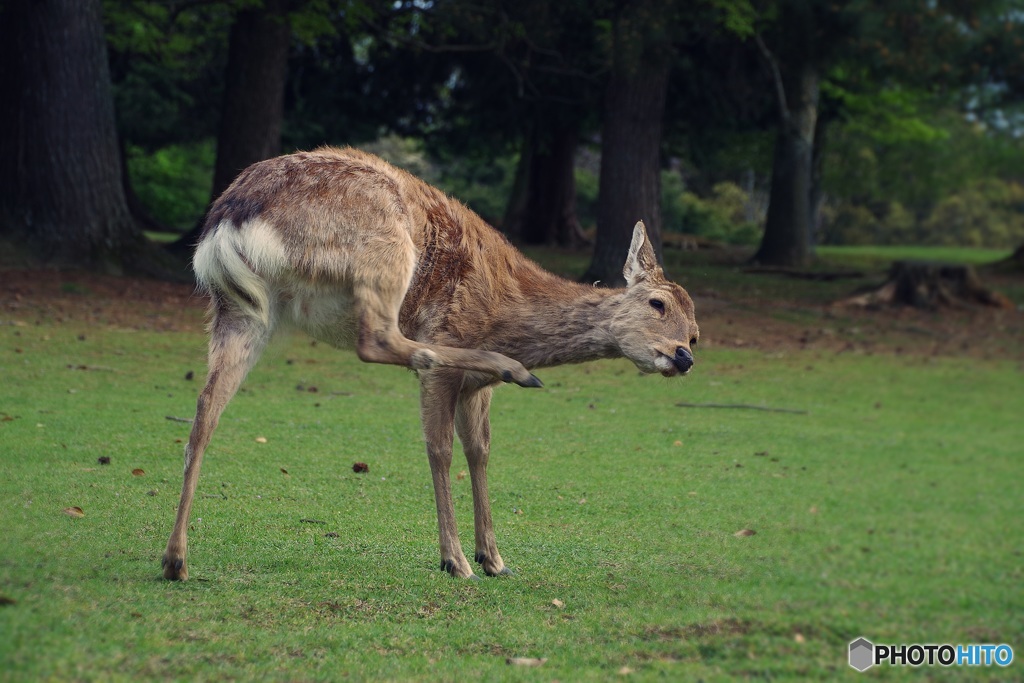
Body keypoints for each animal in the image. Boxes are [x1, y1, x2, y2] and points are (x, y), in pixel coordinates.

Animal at [161, 147, 696, 581]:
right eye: (657, 303)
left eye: (695, 332)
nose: (684, 355)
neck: (507, 311)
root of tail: (229, 218)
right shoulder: (455, 360)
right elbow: (440, 449)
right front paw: (456, 560)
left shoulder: (477, 390)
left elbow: (480, 451)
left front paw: (494, 559)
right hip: (383, 249)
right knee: (378, 340)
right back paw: (507, 368)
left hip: (242, 310)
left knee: (205, 409)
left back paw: (175, 560)